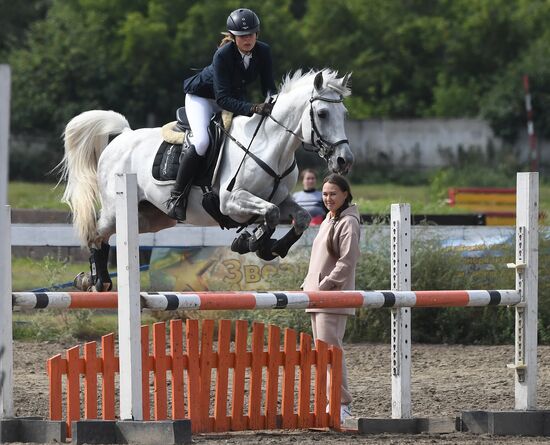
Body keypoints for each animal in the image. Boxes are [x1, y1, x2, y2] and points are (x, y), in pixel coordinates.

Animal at [58, 68, 356, 292]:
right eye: (322, 114)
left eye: (345, 115)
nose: (345, 160)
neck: (269, 144)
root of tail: (123, 136)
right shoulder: (231, 202)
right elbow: (269, 214)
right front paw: (253, 243)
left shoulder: (281, 199)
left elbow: (300, 218)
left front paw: (268, 247)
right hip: (114, 210)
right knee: (95, 234)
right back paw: (96, 280)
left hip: (152, 217)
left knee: (113, 234)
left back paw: (90, 279)